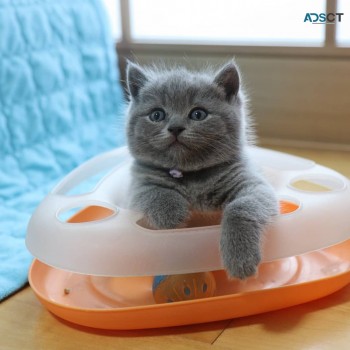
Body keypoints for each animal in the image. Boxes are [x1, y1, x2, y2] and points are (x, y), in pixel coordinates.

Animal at [126, 60, 278, 278]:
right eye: (157, 115)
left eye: (198, 114)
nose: (175, 127)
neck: (190, 177)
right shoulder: (136, 184)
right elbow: (150, 190)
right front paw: (171, 213)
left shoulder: (253, 183)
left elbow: (240, 207)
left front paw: (240, 258)